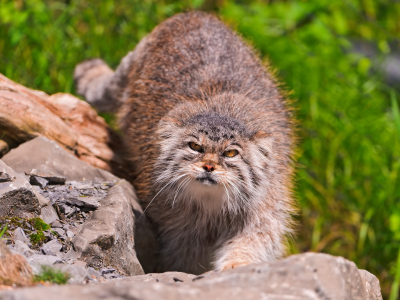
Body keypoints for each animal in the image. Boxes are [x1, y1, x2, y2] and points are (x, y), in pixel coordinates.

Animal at [74, 11, 294, 274]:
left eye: (230, 153)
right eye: (195, 147)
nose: (208, 167)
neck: (212, 206)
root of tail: (193, 14)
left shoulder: (263, 206)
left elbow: (253, 239)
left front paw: (237, 263)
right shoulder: (179, 229)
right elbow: (183, 260)